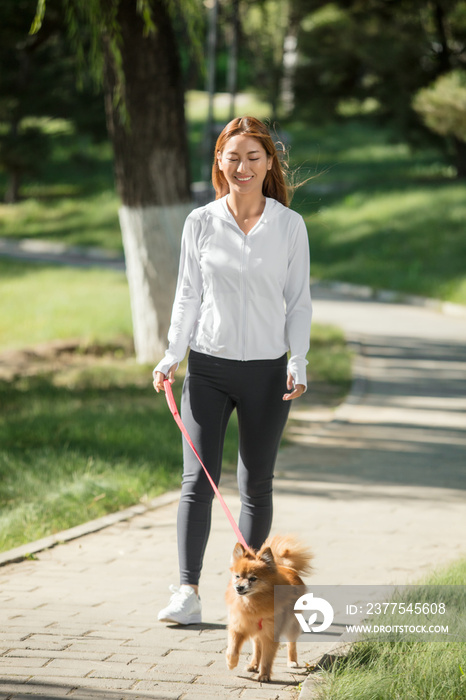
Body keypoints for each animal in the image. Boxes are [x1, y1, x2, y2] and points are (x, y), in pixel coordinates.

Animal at [226, 540, 314, 680]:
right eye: (237, 576)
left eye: (253, 578)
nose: (239, 587)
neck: (252, 603)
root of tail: (287, 567)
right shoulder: (238, 627)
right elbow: (233, 649)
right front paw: (231, 663)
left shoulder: (270, 634)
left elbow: (267, 658)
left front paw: (264, 675)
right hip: (258, 632)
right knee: (257, 648)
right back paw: (253, 664)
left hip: (291, 625)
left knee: (291, 643)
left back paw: (292, 661)